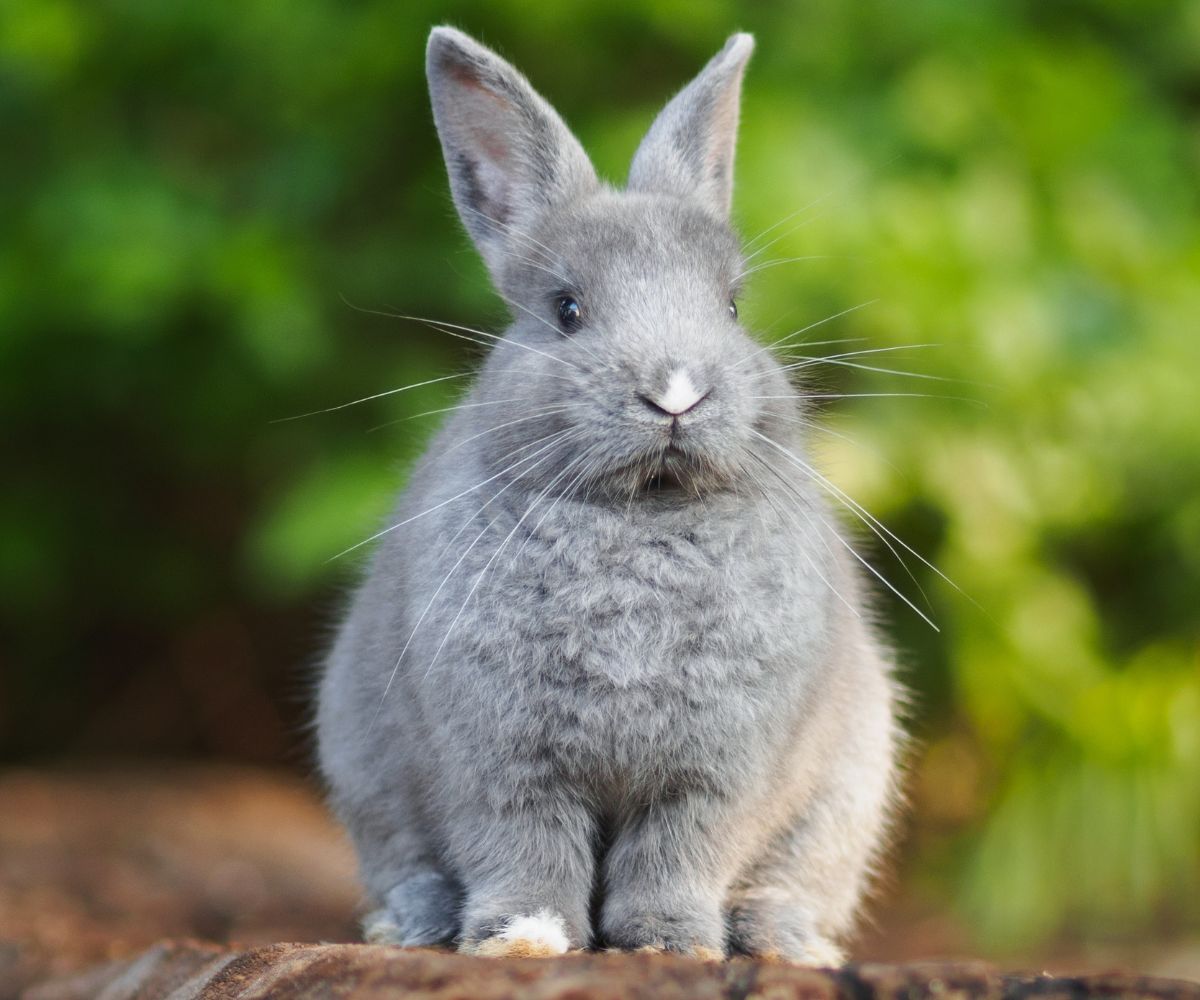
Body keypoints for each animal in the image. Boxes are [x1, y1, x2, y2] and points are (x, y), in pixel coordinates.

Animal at [316, 25, 902, 965]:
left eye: (732, 308)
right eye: (567, 309)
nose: (675, 392)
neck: (642, 514)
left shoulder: (716, 774)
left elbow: (678, 852)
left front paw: (671, 943)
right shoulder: (501, 765)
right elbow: (524, 849)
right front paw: (523, 939)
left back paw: (786, 942)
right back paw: (410, 926)